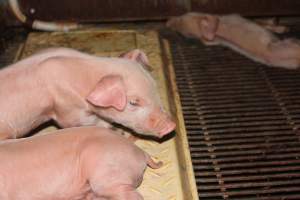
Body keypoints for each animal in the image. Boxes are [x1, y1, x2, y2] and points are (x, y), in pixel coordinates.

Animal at [0, 47, 176, 140]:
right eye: (133, 102)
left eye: (155, 88)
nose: (171, 126)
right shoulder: (67, 112)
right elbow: (86, 122)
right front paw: (116, 130)